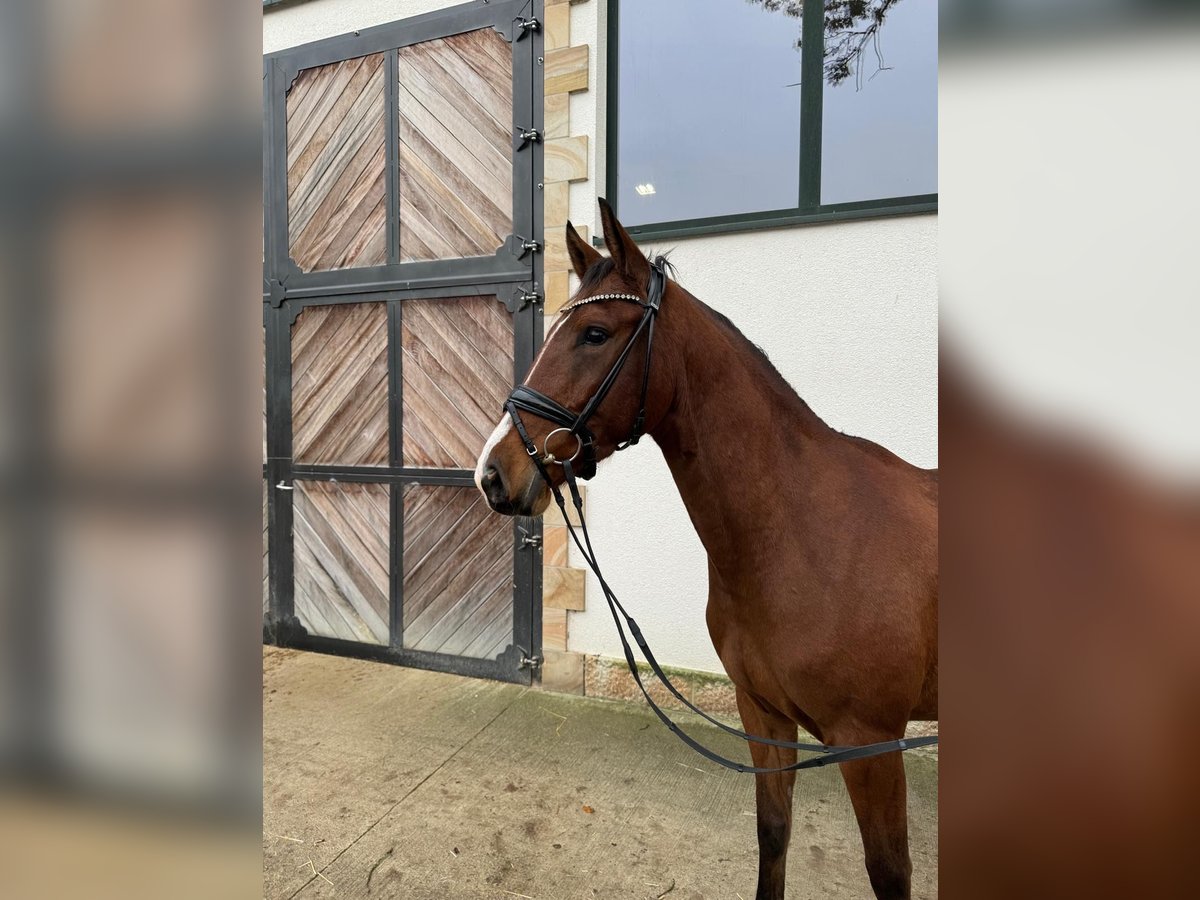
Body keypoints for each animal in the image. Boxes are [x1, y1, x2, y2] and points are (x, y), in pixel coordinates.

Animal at [475, 202, 936, 900]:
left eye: (594, 334)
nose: (494, 474)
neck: (802, 533)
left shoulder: (870, 744)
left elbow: (890, 870)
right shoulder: (764, 716)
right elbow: (773, 835)